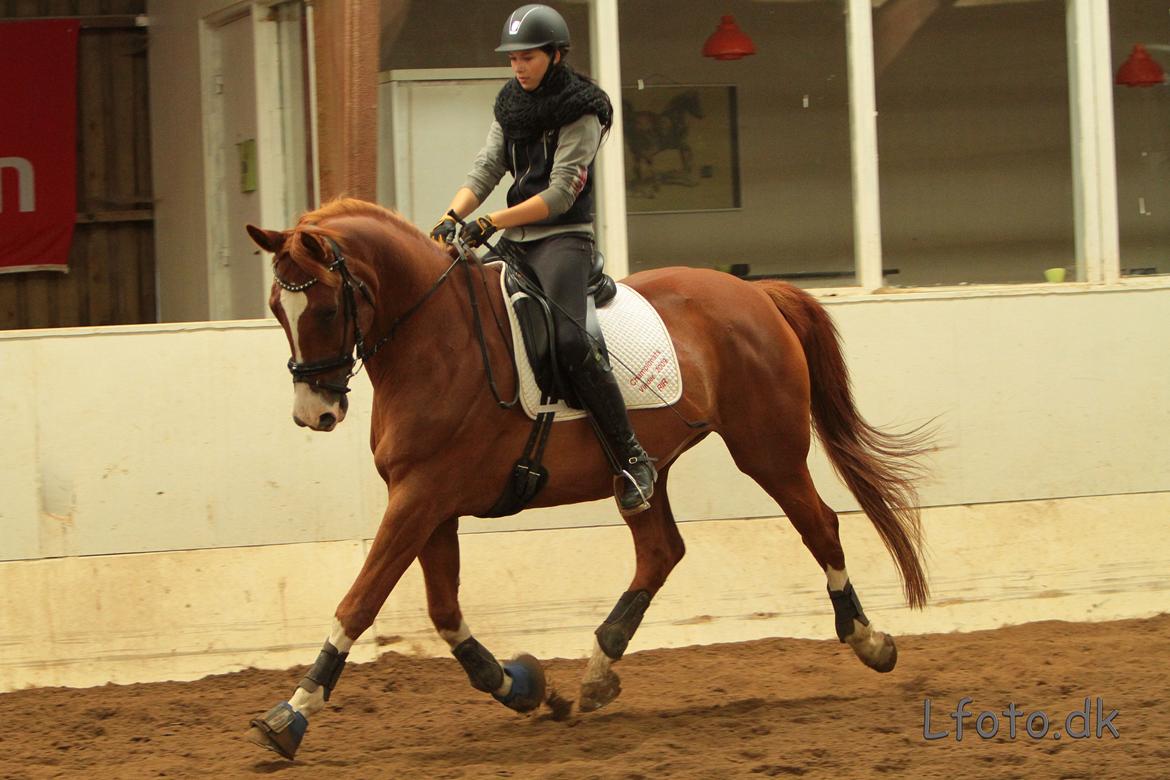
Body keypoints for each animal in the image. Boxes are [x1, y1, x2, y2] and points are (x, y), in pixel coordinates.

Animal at [242, 198, 926, 757]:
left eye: (324, 308)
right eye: (277, 308)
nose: (314, 414)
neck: (434, 340)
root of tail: (755, 294)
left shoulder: (420, 497)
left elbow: (359, 603)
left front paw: (291, 715)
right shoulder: (426, 502)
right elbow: (444, 612)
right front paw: (521, 685)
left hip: (768, 449)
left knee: (820, 525)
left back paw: (869, 641)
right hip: (645, 470)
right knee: (661, 551)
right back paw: (597, 670)